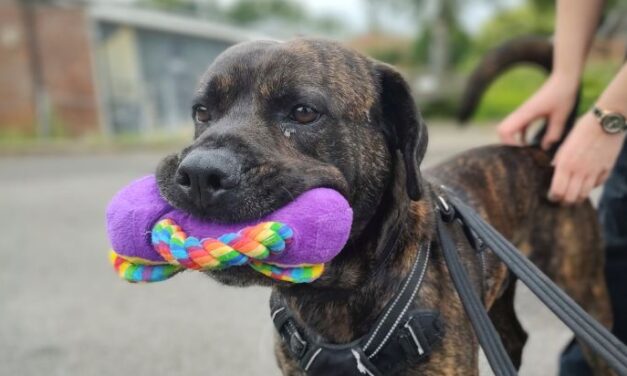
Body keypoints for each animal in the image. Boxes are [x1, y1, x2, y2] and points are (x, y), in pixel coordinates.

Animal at [155, 39, 612, 376]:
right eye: (202, 112)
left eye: (303, 112)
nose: (200, 174)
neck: (332, 295)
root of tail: (541, 151)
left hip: (586, 296)